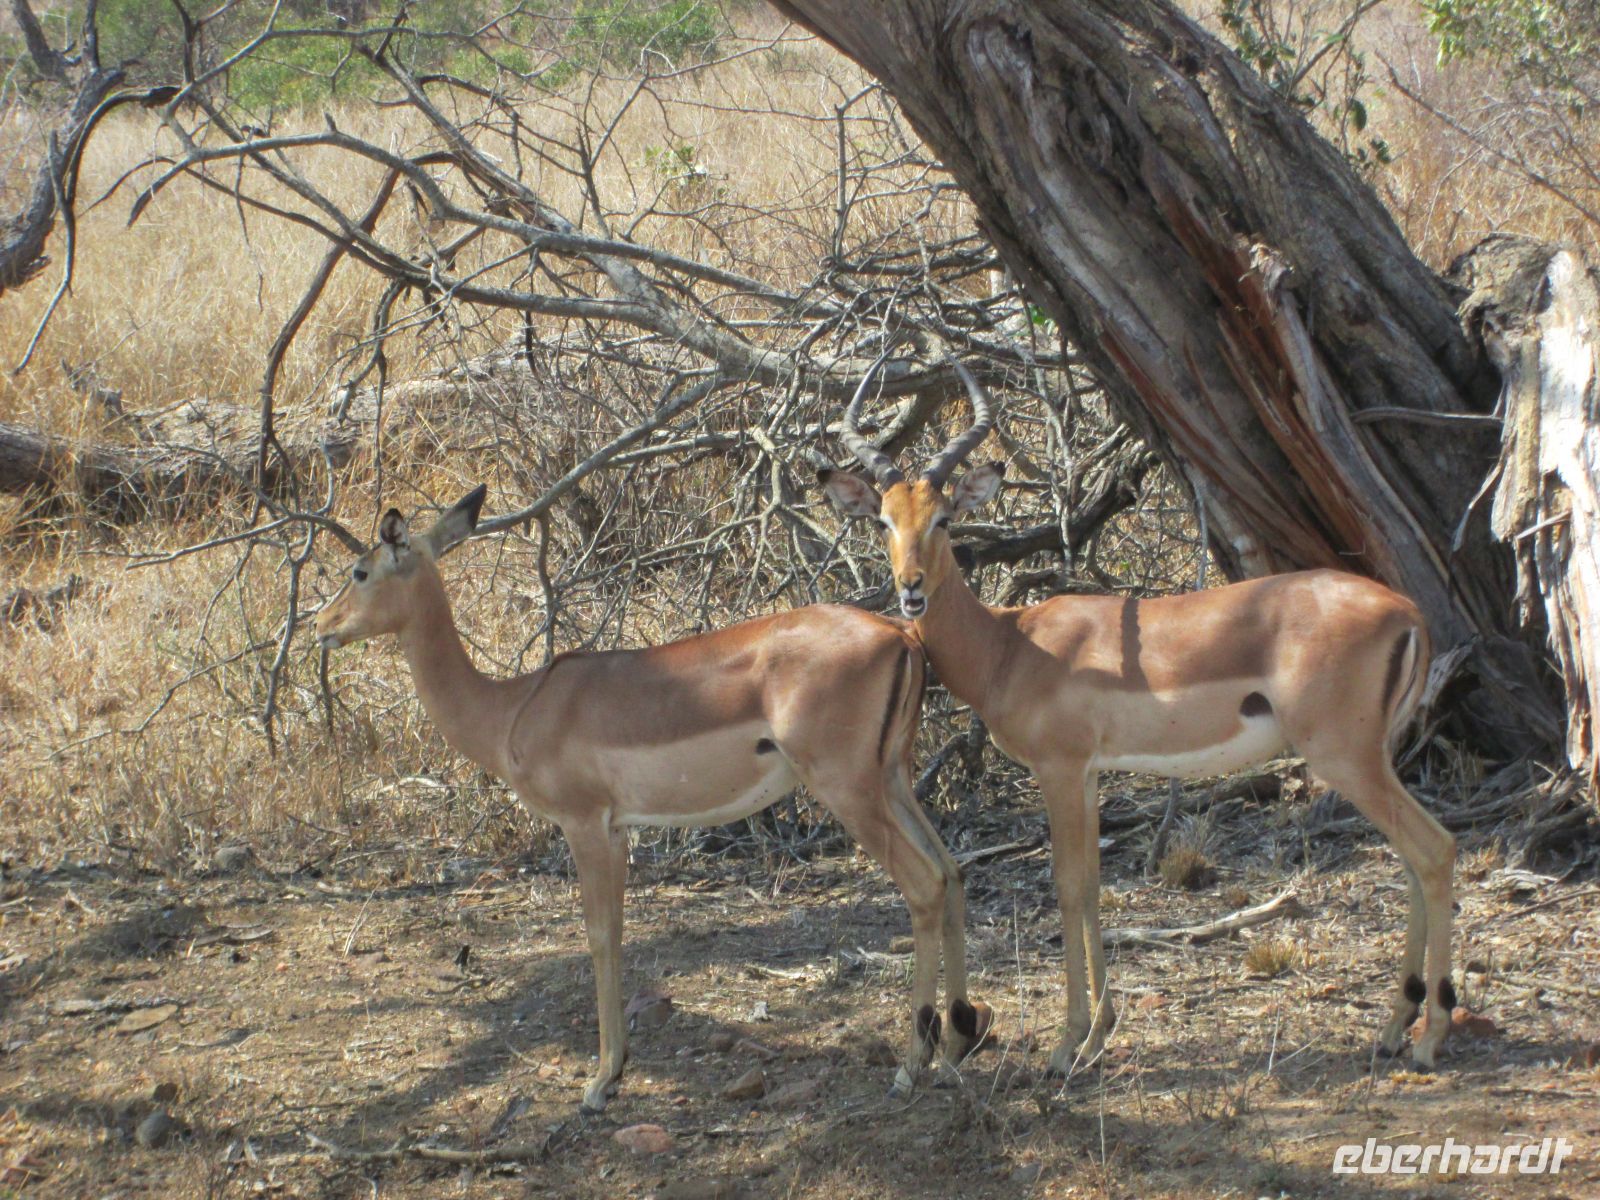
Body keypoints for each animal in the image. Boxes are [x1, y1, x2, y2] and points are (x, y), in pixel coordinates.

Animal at [315, 485, 989, 1111]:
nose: (321, 627)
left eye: (360, 570)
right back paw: (957, 1044)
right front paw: (614, 1069)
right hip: (892, 781)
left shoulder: (584, 824)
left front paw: (600, 1080)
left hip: (847, 789)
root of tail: (901, 632)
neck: (514, 708)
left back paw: (911, 1065)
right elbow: (617, 928)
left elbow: (598, 934)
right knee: (952, 871)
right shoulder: (617, 828)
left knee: (923, 883)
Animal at [820, 362, 1456, 1073]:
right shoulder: (1091, 774)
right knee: (1413, 860)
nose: (911, 591)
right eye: (883, 520)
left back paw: (1428, 1037)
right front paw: (1099, 1033)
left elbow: (1067, 888)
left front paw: (1066, 1045)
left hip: (1345, 757)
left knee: (1435, 850)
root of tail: (1407, 611)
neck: (1010, 645)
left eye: (945, 519)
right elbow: (1096, 888)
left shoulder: (1058, 770)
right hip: (1374, 760)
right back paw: (1394, 1026)